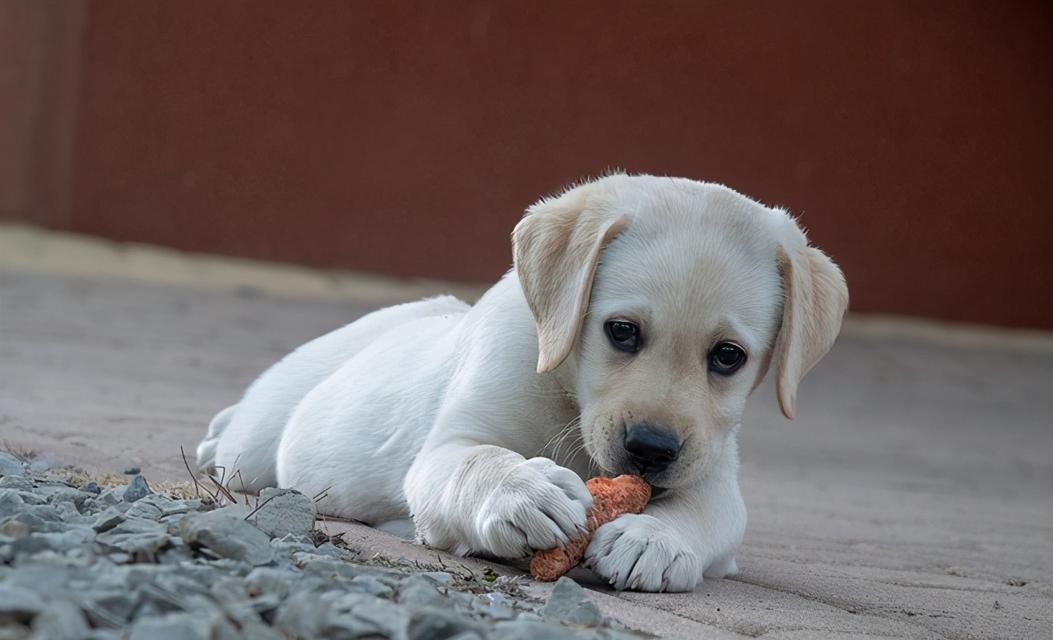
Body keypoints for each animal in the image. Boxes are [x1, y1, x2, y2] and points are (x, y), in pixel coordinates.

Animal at [197, 172, 846, 593]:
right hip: (259, 440)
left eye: (728, 357)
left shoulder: (714, 472)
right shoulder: (446, 448)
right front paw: (523, 492)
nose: (651, 449)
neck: (568, 397)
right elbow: (477, 460)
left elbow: (705, 512)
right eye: (622, 331)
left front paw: (654, 539)